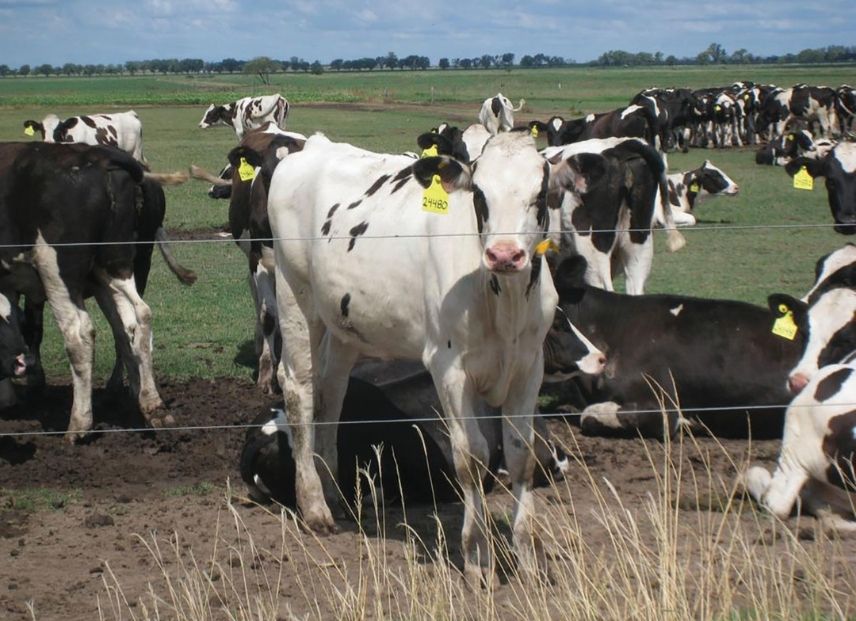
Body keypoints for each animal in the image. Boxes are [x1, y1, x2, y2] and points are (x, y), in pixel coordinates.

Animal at [0, 142, 191, 439]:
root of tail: (103, 157)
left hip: (57, 272)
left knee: (79, 335)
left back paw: (79, 424)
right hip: (117, 265)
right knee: (137, 320)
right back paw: (151, 404)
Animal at [267, 130, 600, 582]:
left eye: (539, 194)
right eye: (479, 193)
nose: (505, 255)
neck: (503, 304)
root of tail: (316, 145)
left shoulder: (528, 367)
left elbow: (521, 454)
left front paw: (529, 556)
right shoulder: (449, 370)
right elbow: (472, 457)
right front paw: (477, 556)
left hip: (343, 322)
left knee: (331, 394)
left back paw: (335, 492)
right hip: (294, 294)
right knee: (299, 388)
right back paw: (314, 506)